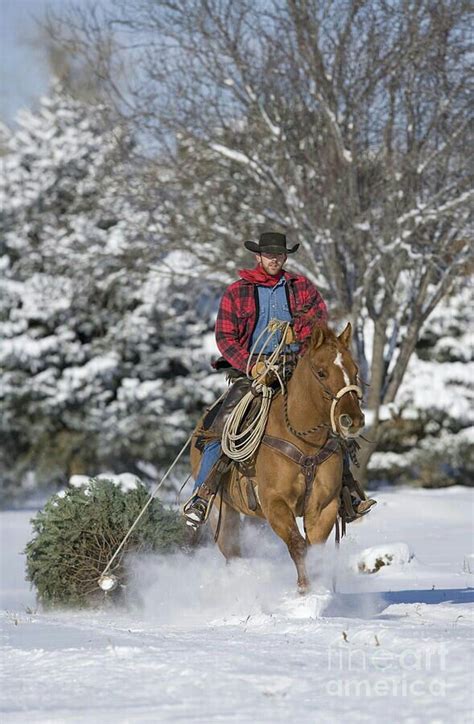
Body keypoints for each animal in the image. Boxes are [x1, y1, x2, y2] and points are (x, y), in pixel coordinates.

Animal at [191, 322, 364, 592]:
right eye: (322, 372)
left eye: (354, 371)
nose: (352, 420)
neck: (305, 444)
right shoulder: (275, 503)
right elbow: (297, 545)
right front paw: (304, 590)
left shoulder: (325, 506)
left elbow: (314, 548)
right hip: (222, 511)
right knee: (232, 551)